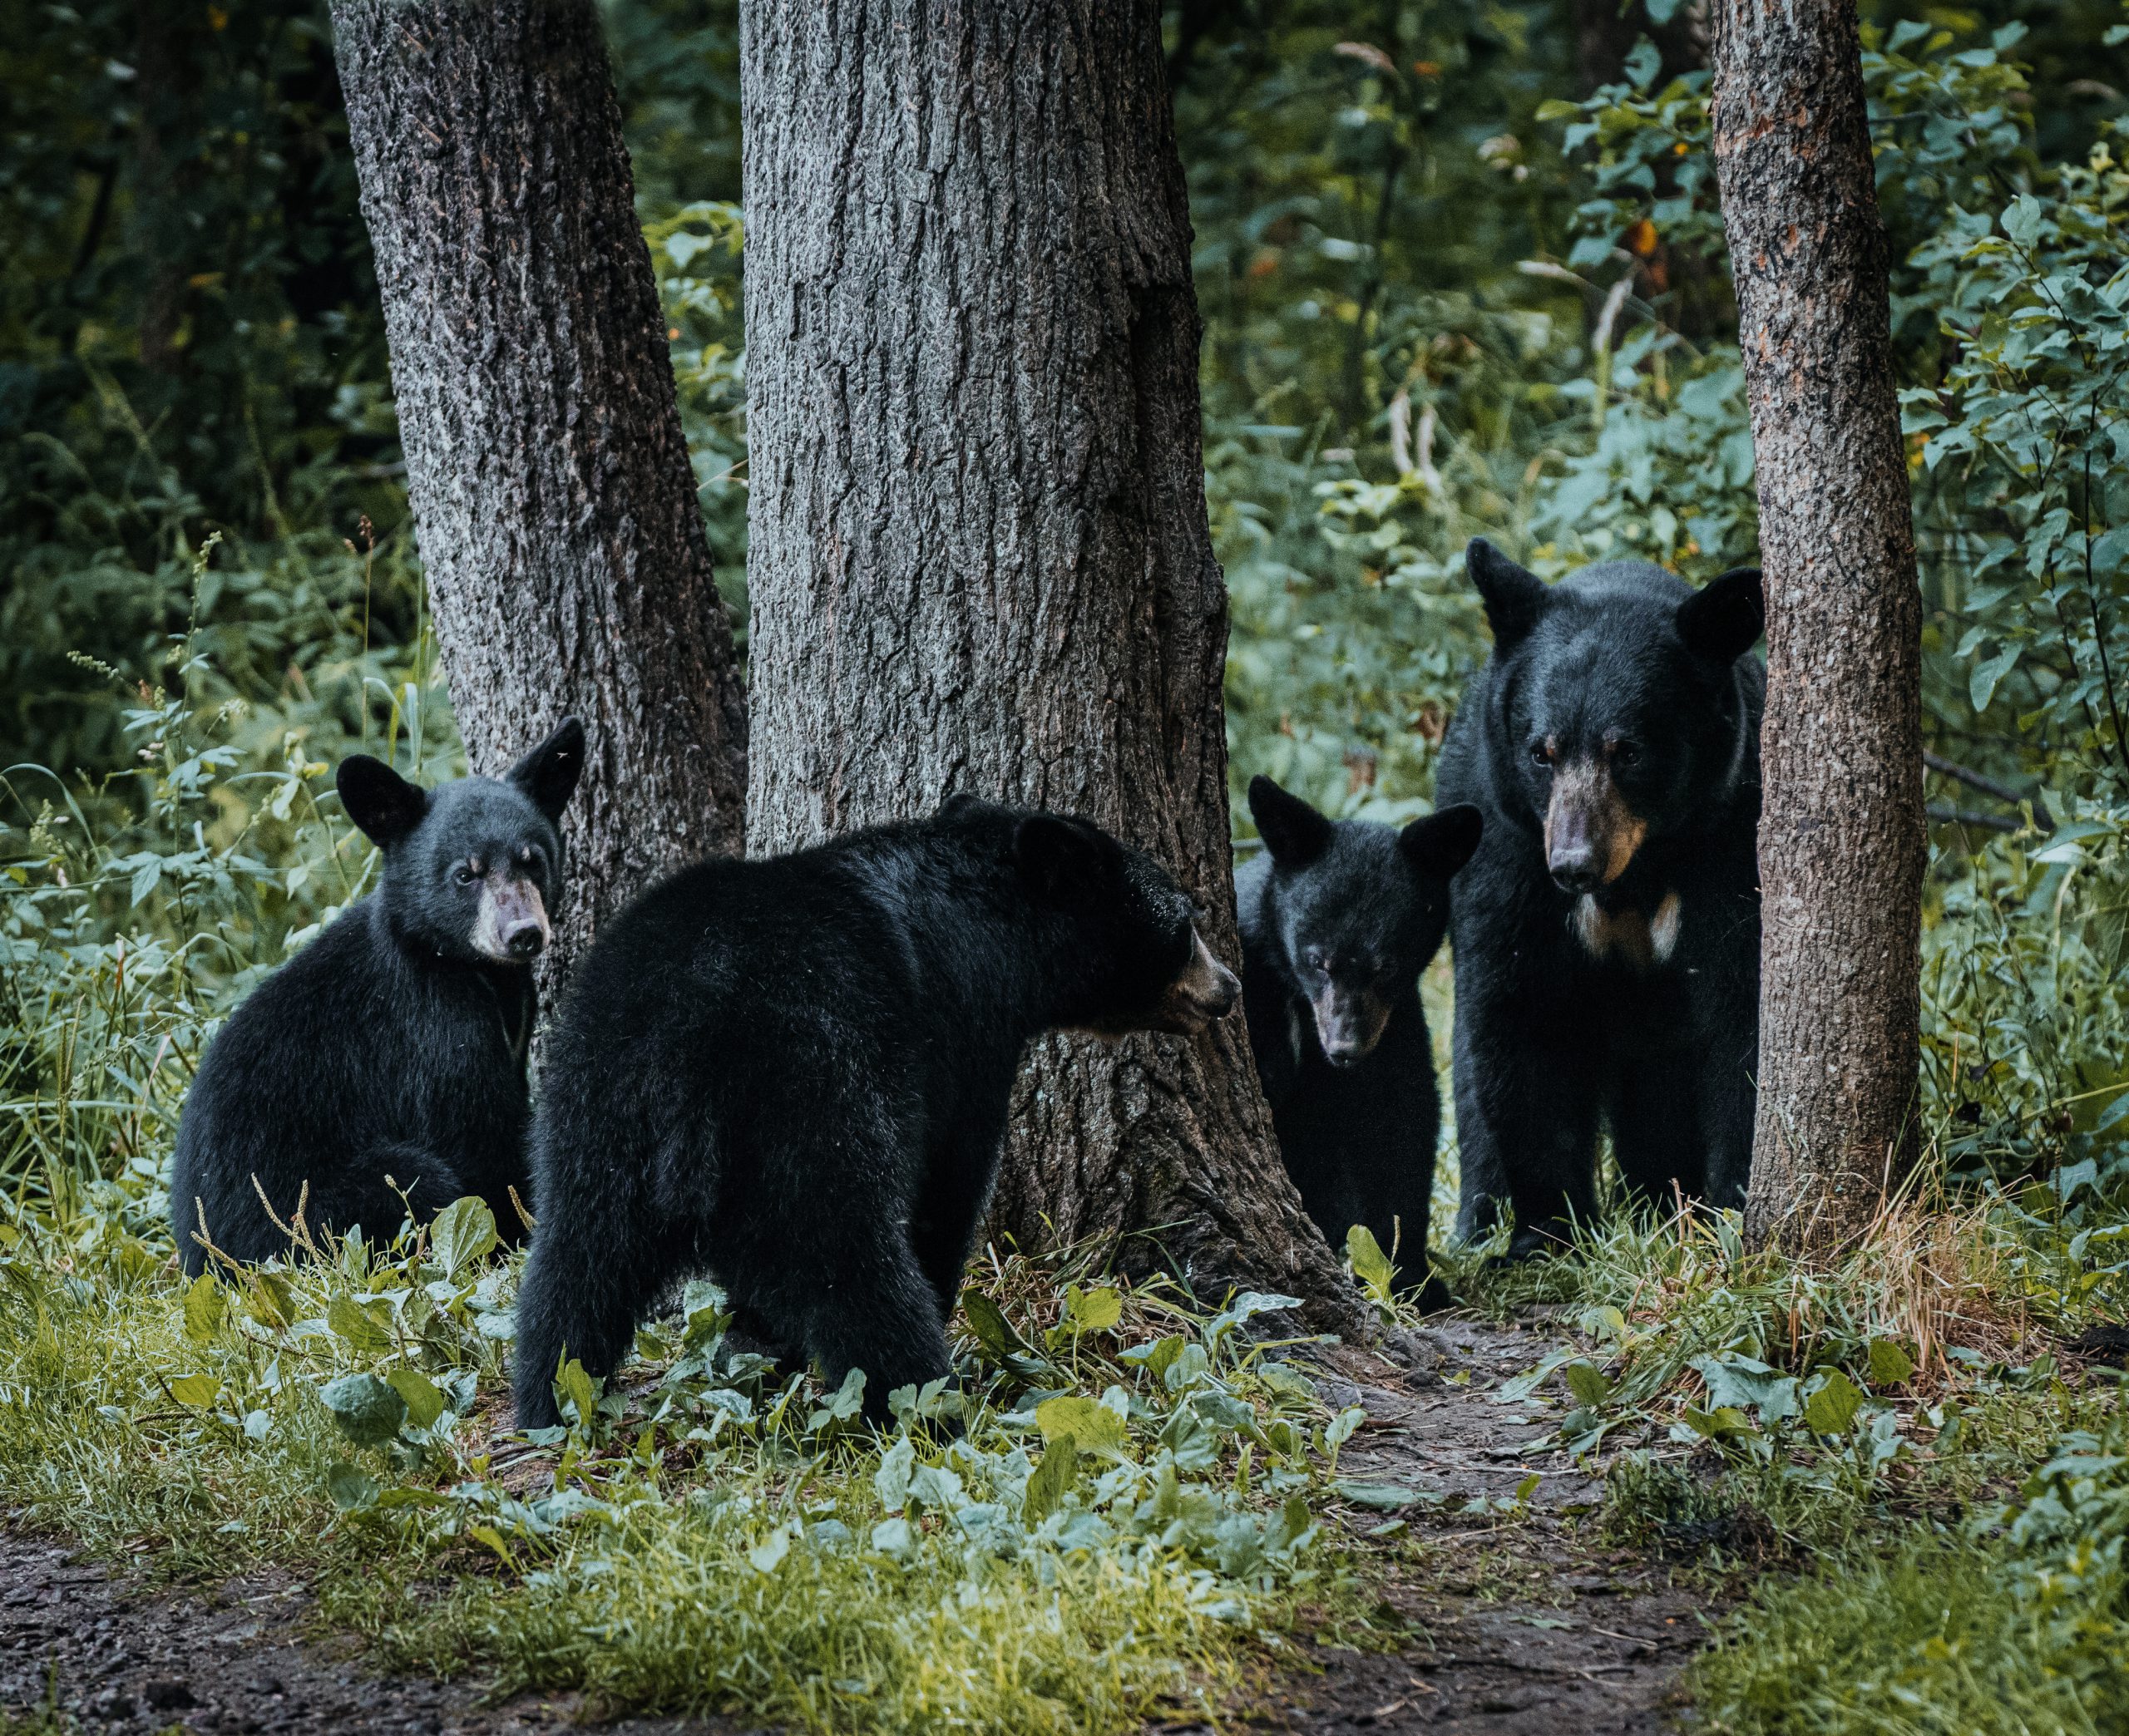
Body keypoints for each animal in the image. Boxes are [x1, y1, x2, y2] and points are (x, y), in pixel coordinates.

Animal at [171, 718, 587, 1276]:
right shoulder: (431, 1029)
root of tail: (201, 1258)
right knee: (414, 1182)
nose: (522, 933)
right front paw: (523, 1231)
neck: (466, 966)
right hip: (313, 1214)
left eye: (533, 860)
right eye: (465, 874)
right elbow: (476, 1131)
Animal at [512, 796, 1243, 1421]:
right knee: (848, 1258)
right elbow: (952, 1179)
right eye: (1186, 924)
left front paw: (754, 1346)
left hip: (595, 1101)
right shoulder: (964, 1035)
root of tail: (687, 1033)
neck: (992, 925)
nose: (1229, 987)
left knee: (576, 1262)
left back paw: (552, 1396)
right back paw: (922, 1399)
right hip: (810, 1090)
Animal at [1234, 778, 1481, 1310]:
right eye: (1317, 960)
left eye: (1386, 966)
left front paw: (1412, 1277)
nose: (1344, 1048)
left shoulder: (1395, 1024)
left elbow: (1402, 1123)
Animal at [1430, 535, 1762, 1250]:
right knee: (1469, 1070)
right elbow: (1526, 1014)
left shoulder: (1730, 837)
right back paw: (1479, 1222)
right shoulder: (1509, 847)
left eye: (1628, 752)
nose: (1574, 864)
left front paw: (1731, 1207)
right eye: (1542, 751)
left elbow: (1741, 1010)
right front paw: (1547, 1231)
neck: (1634, 872)